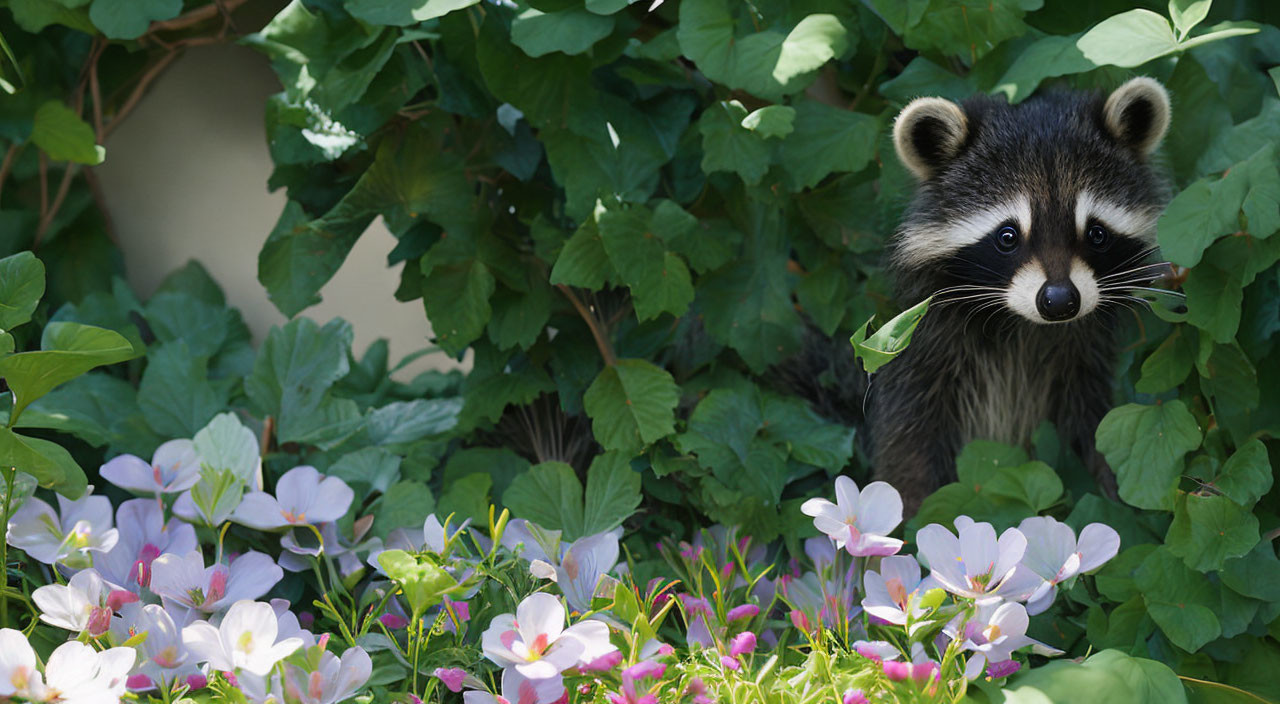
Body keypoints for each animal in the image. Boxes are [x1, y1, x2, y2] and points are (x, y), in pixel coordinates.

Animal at [875, 78, 1172, 514]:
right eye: (1007, 236)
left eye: (1096, 233)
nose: (1060, 301)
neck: (1021, 326)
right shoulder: (922, 355)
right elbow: (907, 441)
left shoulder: (1083, 358)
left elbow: (1095, 425)